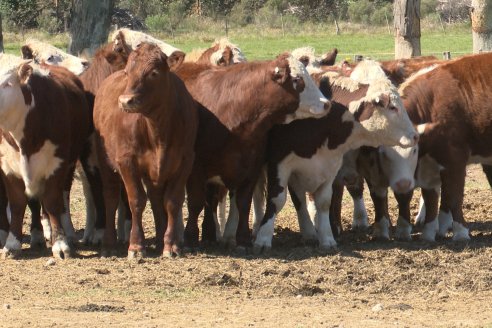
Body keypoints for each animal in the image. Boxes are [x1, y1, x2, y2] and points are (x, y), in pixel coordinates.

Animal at [0, 55, 91, 258]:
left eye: (7, 83)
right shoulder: (8, 167)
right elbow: (18, 203)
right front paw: (12, 243)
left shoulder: (57, 164)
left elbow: (52, 201)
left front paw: (60, 243)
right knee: (34, 202)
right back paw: (37, 235)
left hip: (70, 165)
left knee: (63, 198)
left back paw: (69, 233)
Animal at [94, 42, 198, 258]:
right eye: (127, 72)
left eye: (154, 73)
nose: (125, 101)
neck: (157, 129)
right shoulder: (126, 161)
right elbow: (136, 200)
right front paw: (136, 246)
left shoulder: (186, 160)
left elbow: (172, 201)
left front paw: (171, 245)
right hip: (105, 162)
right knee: (110, 196)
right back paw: (108, 243)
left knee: (156, 198)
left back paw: (159, 240)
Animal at [173, 53, 330, 249]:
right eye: (296, 79)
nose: (326, 103)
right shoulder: (196, 169)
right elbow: (195, 203)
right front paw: (191, 237)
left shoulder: (251, 169)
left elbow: (243, 203)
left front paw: (243, 239)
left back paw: (211, 233)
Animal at [254, 64, 418, 254]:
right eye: (392, 107)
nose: (414, 136)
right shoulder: (280, 163)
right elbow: (277, 200)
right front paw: (263, 238)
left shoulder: (330, 166)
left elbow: (325, 201)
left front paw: (327, 238)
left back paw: (309, 232)